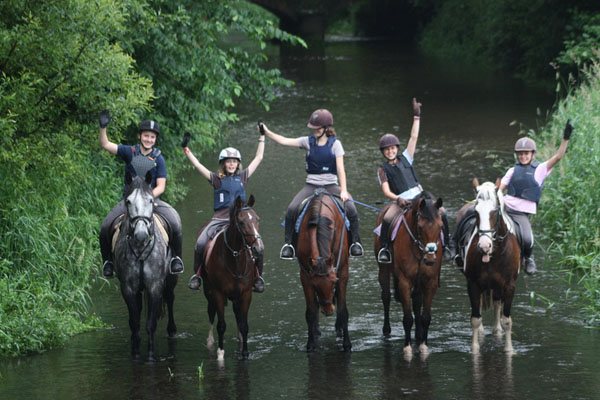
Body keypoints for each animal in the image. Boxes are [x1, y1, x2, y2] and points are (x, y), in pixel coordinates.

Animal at [112, 170, 177, 360]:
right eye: (128, 201)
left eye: (150, 200)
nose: (141, 235)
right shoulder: (128, 287)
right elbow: (134, 322)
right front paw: (135, 353)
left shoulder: (155, 286)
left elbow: (150, 324)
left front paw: (150, 356)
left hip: (171, 278)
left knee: (170, 297)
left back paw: (172, 331)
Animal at [200, 195, 262, 360]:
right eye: (241, 222)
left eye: (257, 219)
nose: (258, 248)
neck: (235, 258)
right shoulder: (218, 293)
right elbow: (221, 325)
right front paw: (220, 353)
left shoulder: (246, 293)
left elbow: (244, 324)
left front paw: (245, 353)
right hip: (209, 292)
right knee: (211, 312)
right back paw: (210, 341)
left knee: (237, 315)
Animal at [296, 191, 352, 354]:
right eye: (315, 286)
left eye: (333, 282)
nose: (327, 310)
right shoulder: (305, 276)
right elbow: (310, 312)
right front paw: (310, 345)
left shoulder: (342, 271)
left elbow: (343, 310)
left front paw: (347, 345)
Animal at [376, 192, 446, 354]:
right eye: (420, 227)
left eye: (440, 226)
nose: (430, 259)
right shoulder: (404, 281)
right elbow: (408, 318)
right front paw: (407, 347)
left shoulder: (430, 281)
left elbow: (426, 317)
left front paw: (423, 345)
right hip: (384, 269)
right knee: (386, 297)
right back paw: (387, 330)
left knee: (417, 301)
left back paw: (418, 334)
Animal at [458, 178, 524, 354]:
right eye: (476, 212)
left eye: (495, 211)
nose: (484, 246)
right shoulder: (473, 284)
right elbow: (475, 318)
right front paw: (475, 349)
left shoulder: (509, 285)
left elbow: (507, 320)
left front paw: (509, 349)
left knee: (496, 304)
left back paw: (497, 330)